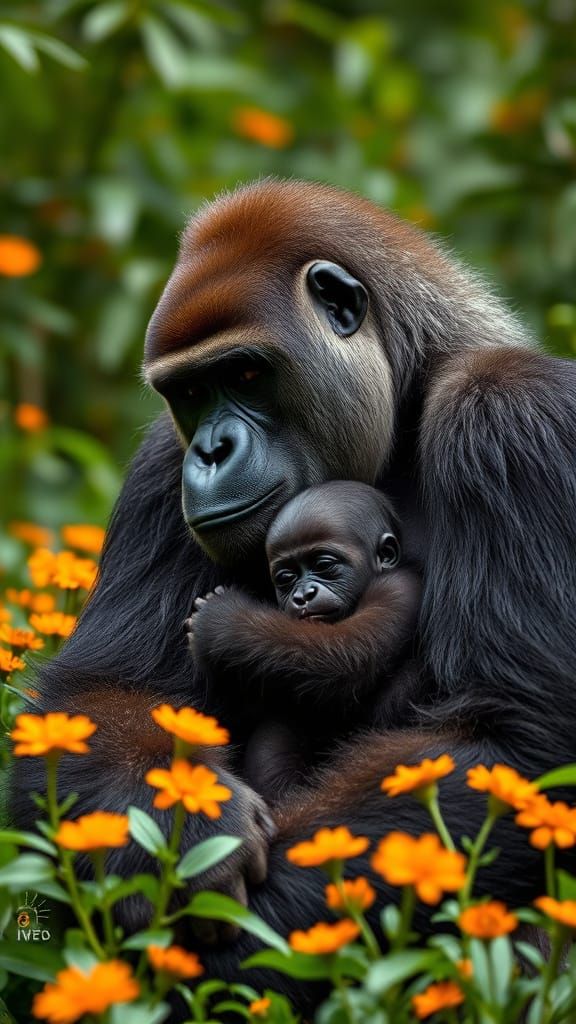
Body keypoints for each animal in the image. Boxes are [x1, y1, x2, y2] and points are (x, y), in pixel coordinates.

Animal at [185, 481, 423, 801]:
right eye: (286, 578)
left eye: (324, 564)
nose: (303, 595)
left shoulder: (398, 588)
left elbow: (350, 653)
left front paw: (222, 621)